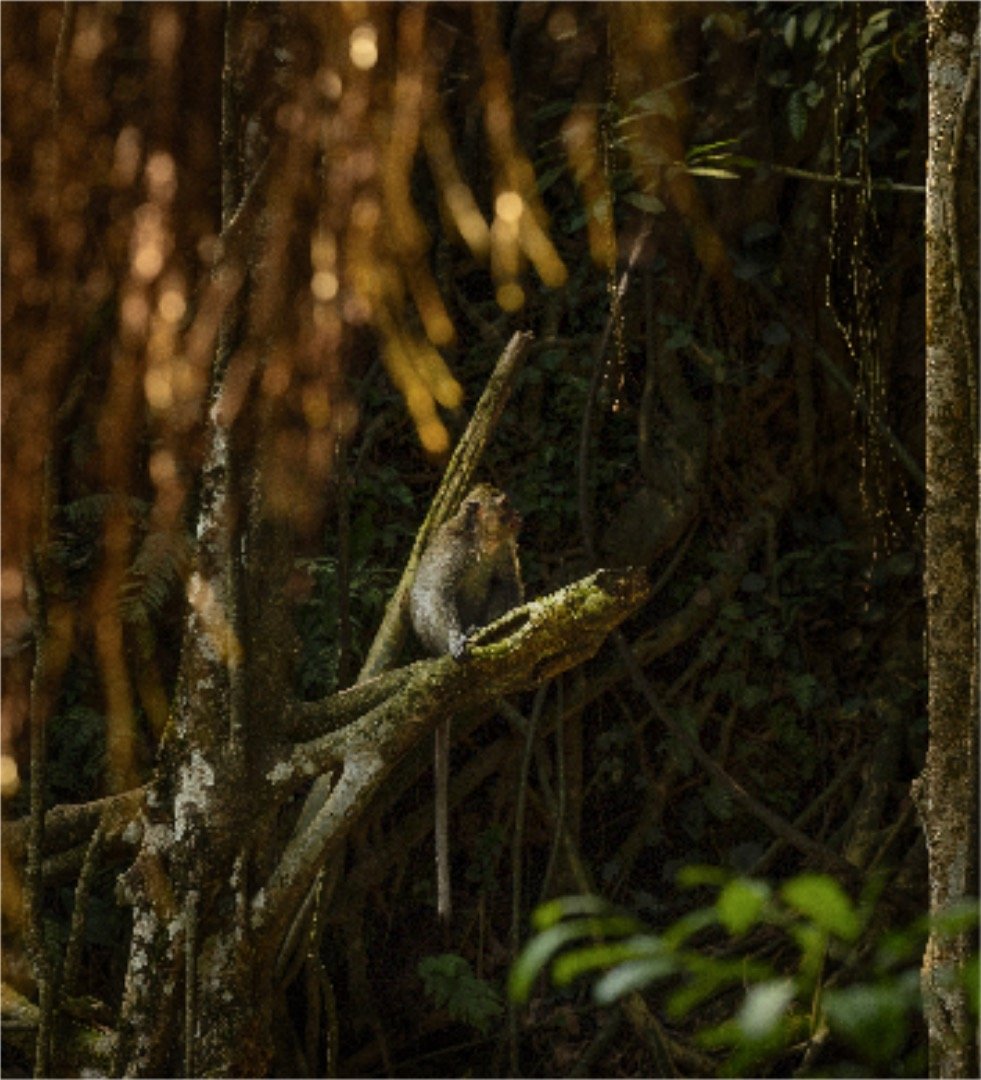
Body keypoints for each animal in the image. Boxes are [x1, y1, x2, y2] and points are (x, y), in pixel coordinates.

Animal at [409, 484, 524, 920]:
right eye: (504, 505)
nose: (520, 516)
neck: (483, 542)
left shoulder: (505, 551)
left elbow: (507, 586)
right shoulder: (452, 548)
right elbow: (432, 592)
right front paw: (458, 639)